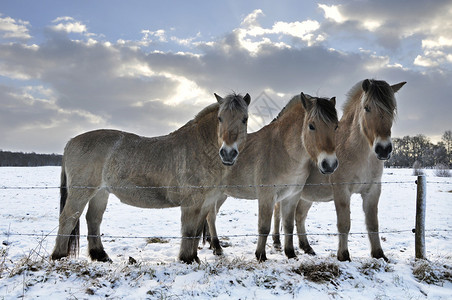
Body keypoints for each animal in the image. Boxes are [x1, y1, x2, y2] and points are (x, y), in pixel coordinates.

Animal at [51, 92, 252, 264]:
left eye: (245, 119)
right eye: (220, 118)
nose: (228, 153)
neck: (199, 149)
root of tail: (70, 142)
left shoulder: (206, 203)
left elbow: (195, 232)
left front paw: (194, 258)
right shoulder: (191, 203)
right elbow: (188, 231)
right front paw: (186, 259)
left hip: (100, 193)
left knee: (93, 219)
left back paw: (100, 256)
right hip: (81, 193)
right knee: (68, 219)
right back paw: (58, 256)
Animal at [203, 92, 338, 262]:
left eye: (336, 126)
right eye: (311, 126)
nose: (329, 164)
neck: (282, 151)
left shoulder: (292, 196)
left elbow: (288, 225)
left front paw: (290, 253)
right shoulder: (266, 195)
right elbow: (264, 226)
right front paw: (260, 255)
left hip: (221, 194)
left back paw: (213, 245)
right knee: (211, 217)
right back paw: (217, 247)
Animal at [274, 78, 408, 262]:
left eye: (392, 108)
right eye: (367, 107)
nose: (383, 149)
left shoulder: (373, 191)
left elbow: (373, 224)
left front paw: (379, 254)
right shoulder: (342, 191)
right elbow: (344, 224)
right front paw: (343, 255)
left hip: (306, 195)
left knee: (299, 216)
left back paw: (307, 247)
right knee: (277, 212)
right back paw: (277, 243)